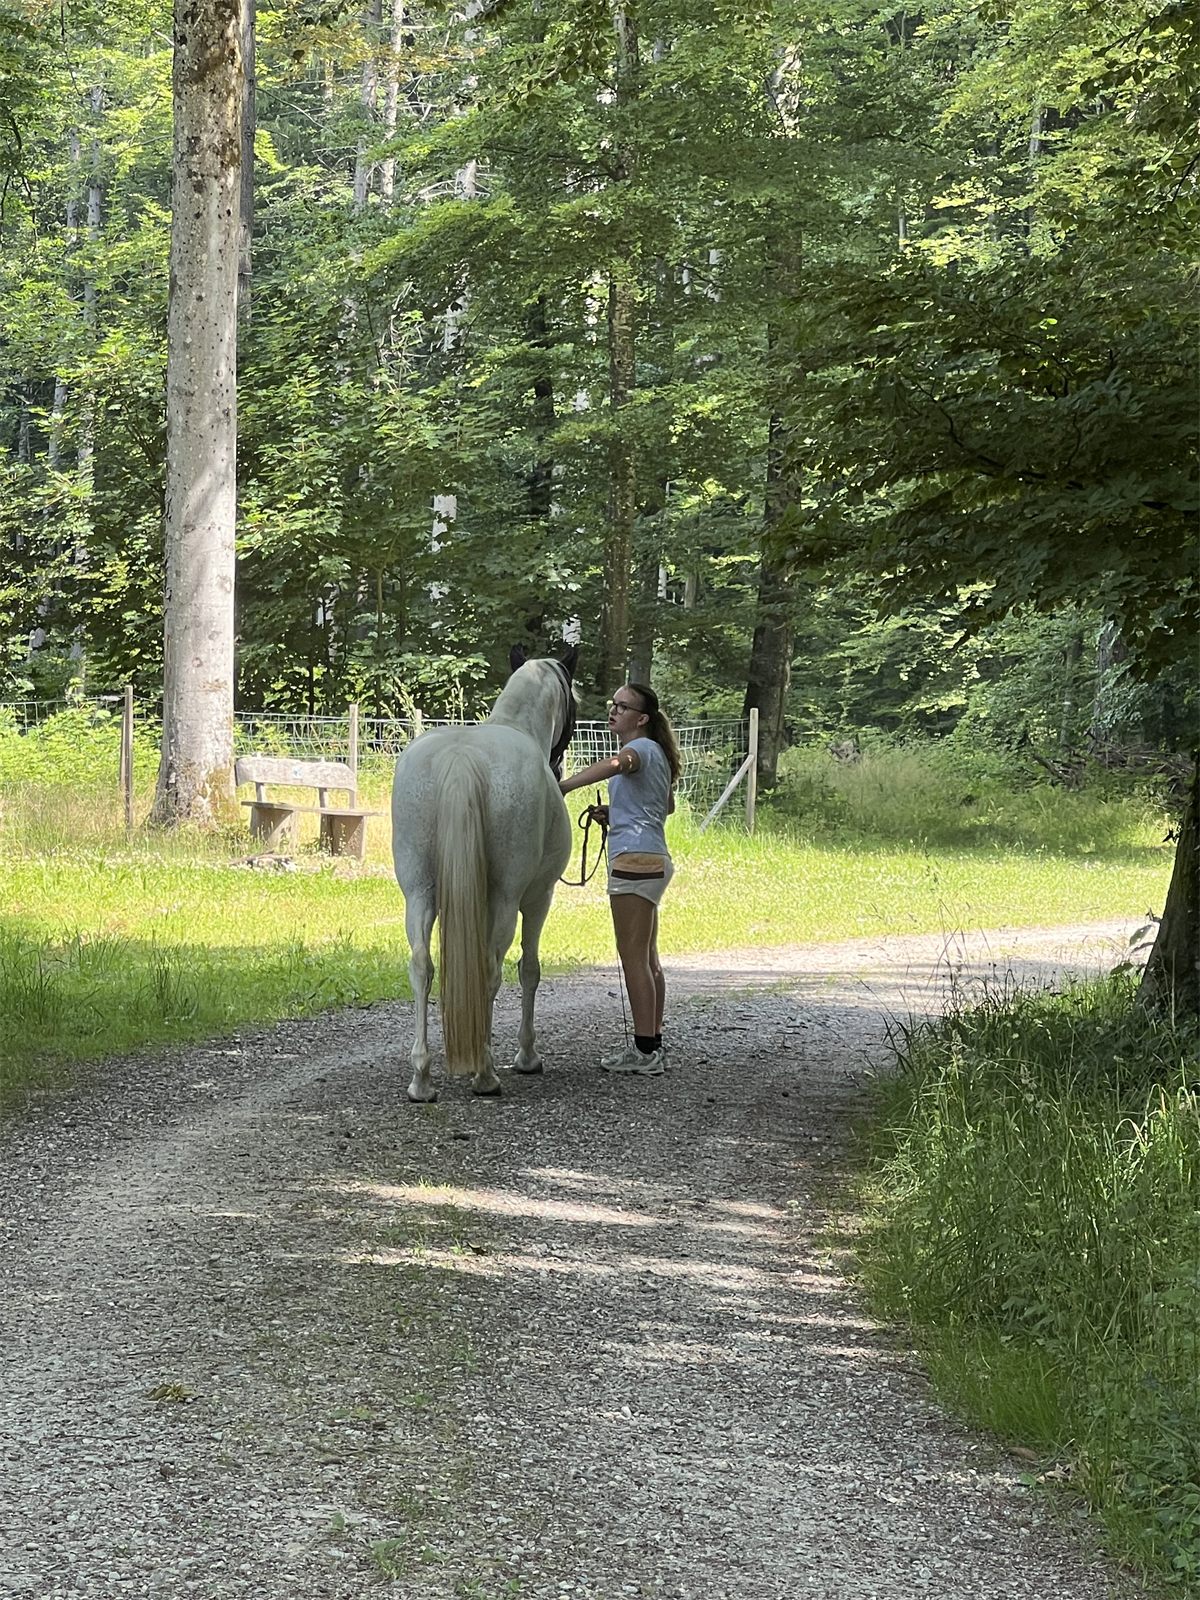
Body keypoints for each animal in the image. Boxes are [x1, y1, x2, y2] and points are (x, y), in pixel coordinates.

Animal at [391, 647, 578, 1102]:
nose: (560, 766)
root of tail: (460, 758)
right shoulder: (539, 898)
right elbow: (529, 969)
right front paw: (527, 1057)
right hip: (507, 899)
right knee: (491, 970)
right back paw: (486, 1075)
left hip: (418, 892)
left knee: (421, 966)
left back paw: (421, 1079)